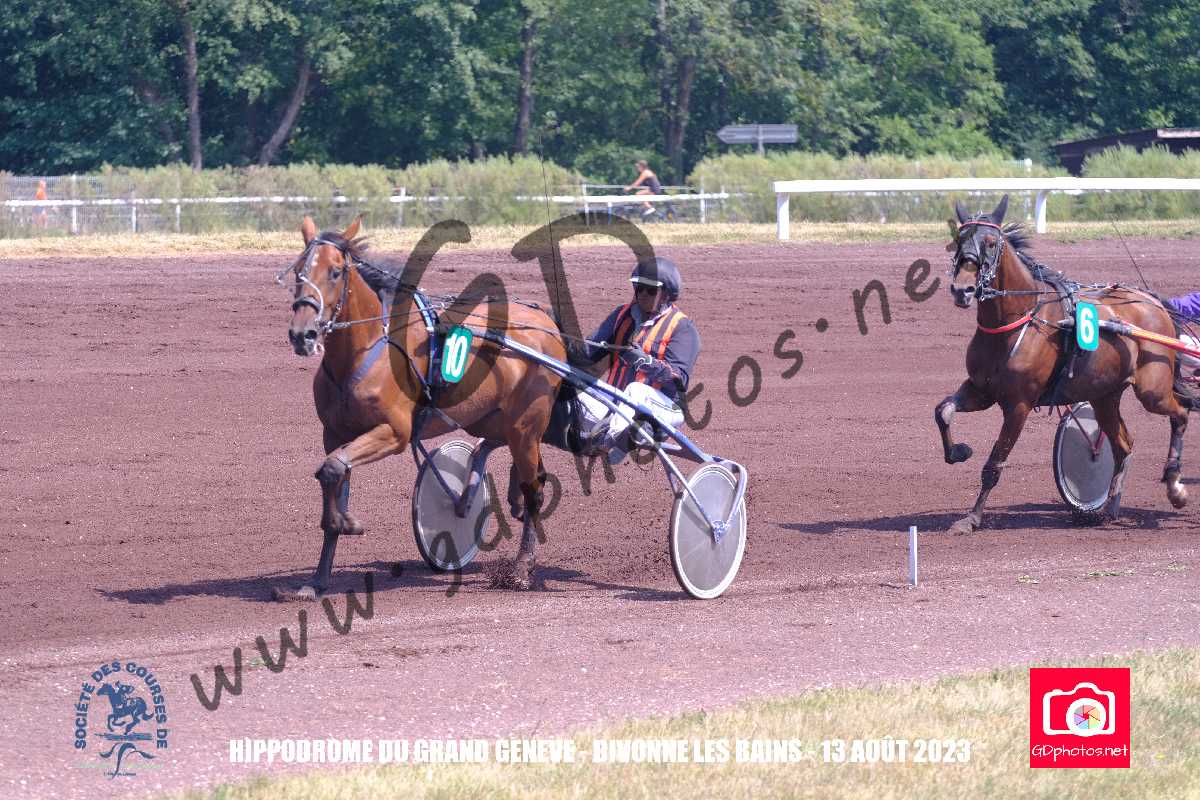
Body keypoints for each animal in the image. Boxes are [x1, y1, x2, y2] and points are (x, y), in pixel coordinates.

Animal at [283, 217, 566, 596]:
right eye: (299, 270)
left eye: (336, 271)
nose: (303, 334)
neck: (364, 350)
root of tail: (545, 321)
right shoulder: (333, 433)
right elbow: (333, 472)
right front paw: (319, 577)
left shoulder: (395, 433)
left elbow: (332, 468)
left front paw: (349, 522)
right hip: (493, 418)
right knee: (515, 463)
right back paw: (508, 500)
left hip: (526, 421)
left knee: (535, 488)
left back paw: (521, 568)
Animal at [935, 195, 1189, 533]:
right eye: (959, 240)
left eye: (990, 243)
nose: (962, 289)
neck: (1018, 321)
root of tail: (1154, 302)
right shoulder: (979, 390)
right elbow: (943, 411)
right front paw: (958, 451)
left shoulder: (1019, 404)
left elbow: (994, 464)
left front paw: (971, 519)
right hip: (1104, 396)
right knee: (1123, 445)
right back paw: (1108, 509)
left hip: (1153, 391)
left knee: (1181, 414)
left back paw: (1175, 487)